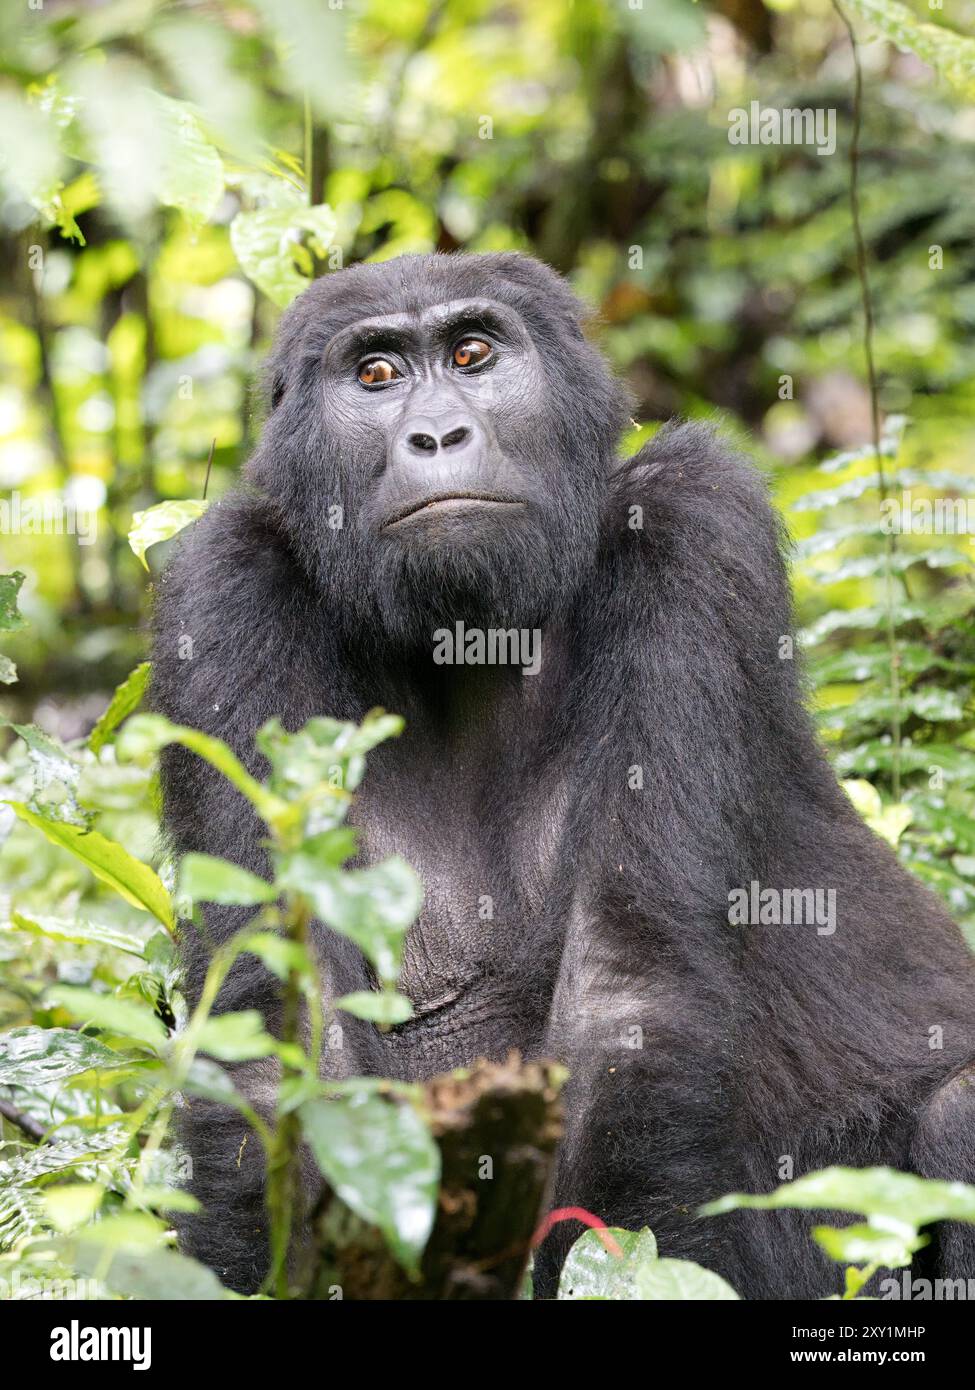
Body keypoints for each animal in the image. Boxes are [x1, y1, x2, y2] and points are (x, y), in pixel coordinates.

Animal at [150, 252, 973, 1301]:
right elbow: (278, 1042)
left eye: (473, 354)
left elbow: (628, 1000)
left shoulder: (688, 517)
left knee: (960, 1108)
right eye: (374, 375)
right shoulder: (221, 594)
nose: (437, 434)